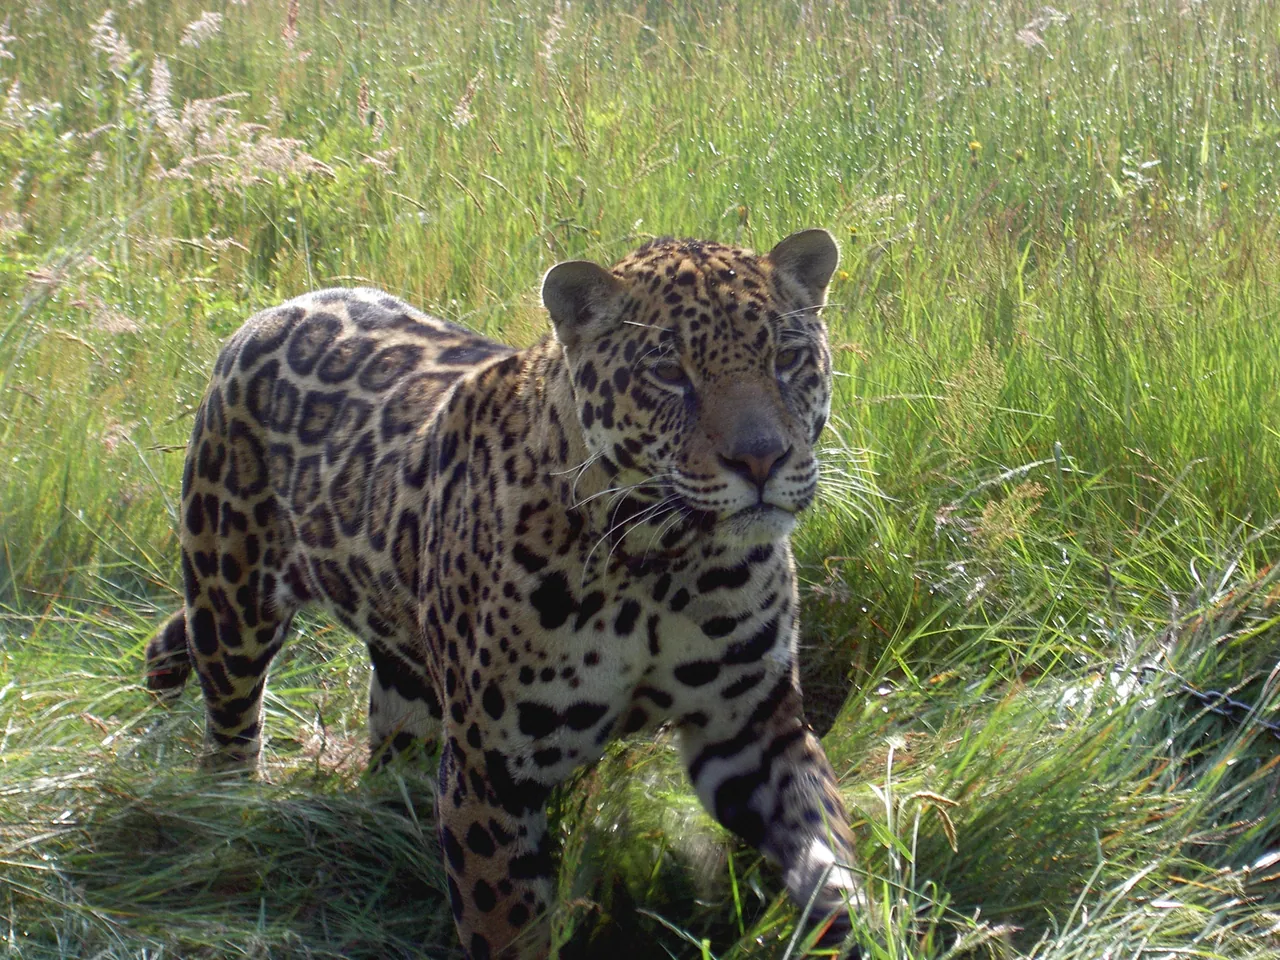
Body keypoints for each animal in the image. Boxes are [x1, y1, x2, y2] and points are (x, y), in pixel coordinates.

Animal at [144, 228, 863, 959]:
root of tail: (279, 309)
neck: (662, 562)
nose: (762, 460)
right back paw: (222, 833)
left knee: (393, 751)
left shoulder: (753, 729)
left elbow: (828, 846)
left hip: (407, 682)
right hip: (231, 608)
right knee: (229, 737)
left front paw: (854, 925)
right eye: (668, 373)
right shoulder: (491, 777)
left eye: (789, 359)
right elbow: (508, 929)